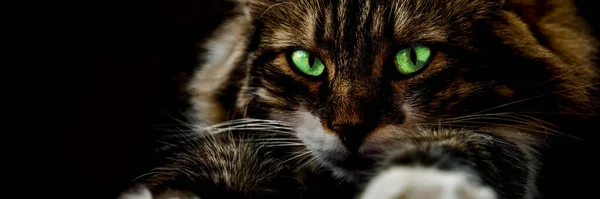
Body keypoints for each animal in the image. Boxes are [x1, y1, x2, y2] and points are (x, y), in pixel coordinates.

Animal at [119, 0, 596, 198]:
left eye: (413, 58)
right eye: (307, 62)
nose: (350, 130)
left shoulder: (507, 139)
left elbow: (457, 146)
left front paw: (412, 189)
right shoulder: (245, 135)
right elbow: (218, 158)